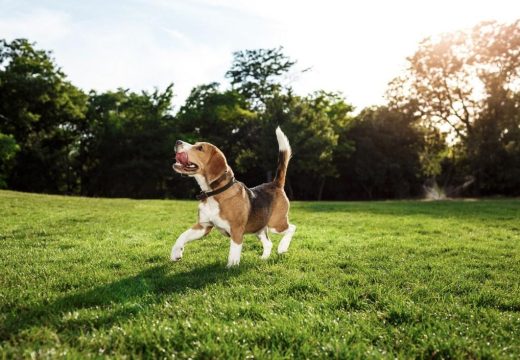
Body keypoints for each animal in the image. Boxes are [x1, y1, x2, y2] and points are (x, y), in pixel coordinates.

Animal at [172, 127, 296, 268]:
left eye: (200, 148)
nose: (177, 141)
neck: (214, 193)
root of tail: (275, 184)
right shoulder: (204, 226)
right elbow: (182, 235)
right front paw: (176, 253)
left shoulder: (236, 230)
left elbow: (234, 251)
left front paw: (231, 267)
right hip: (259, 227)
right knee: (269, 243)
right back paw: (264, 258)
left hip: (276, 224)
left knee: (292, 228)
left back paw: (282, 247)